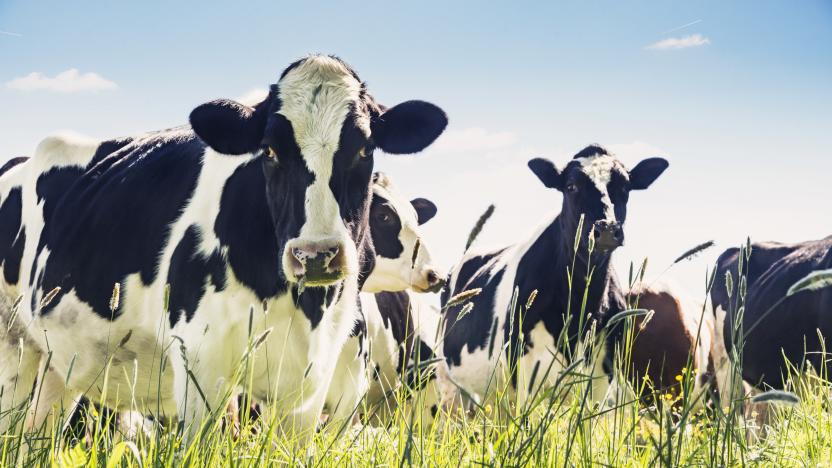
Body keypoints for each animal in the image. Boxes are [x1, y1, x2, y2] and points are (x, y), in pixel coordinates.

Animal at [438, 145, 668, 410]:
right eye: (571, 186)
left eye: (625, 188)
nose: (607, 229)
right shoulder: (524, 372)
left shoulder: (602, 375)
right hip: (452, 385)